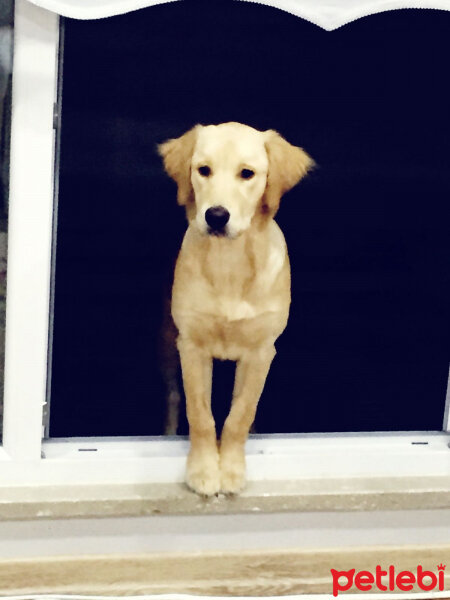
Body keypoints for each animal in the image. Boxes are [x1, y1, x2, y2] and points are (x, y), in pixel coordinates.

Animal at [158, 123, 312, 496]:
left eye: (247, 174)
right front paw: (202, 471)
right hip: (167, 342)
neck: (230, 264)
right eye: (203, 170)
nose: (216, 216)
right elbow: (200, 413)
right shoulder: (191, 345)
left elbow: (239, 414)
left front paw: (230, 469)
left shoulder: (261, 351)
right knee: (173, 397)